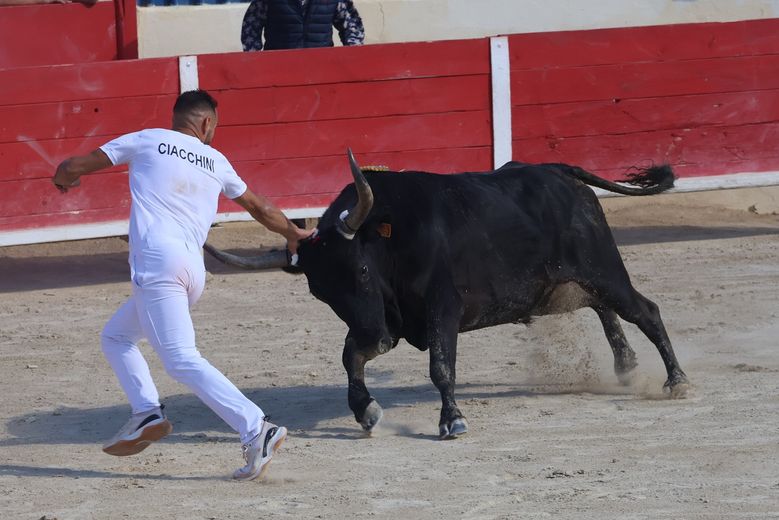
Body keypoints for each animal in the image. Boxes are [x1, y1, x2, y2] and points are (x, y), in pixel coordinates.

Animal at [206, 151, 688, 438]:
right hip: (565, 286)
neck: (389, 237)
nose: (376, 339)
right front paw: (365, 410)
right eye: (318, 291)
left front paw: (452, 420)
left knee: (645, 310)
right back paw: (626, 366)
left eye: (361, 268)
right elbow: (350, 357)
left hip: (603, 269)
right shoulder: (386, 318)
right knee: (606, 310)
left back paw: (676, 381)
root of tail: (559, 172)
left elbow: (441, 366)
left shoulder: (443, 308)